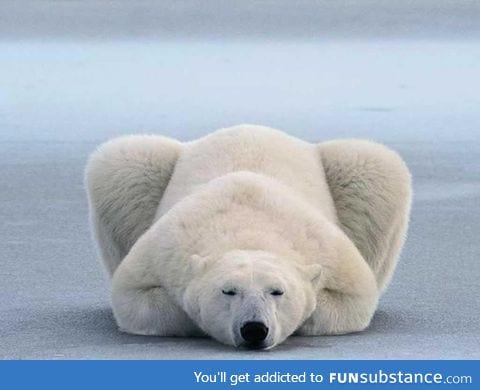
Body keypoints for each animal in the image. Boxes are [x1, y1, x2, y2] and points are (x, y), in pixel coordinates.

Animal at [84, 124, 410, 348]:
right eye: (228, 291)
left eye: (277, 291)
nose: (254, 329)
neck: (250, 229)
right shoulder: (166, 248)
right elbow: (134, 297)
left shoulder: (327, 250)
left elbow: (353, 298)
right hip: (143, 171)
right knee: (123, 161)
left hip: (356, 172)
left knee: (373, 165)